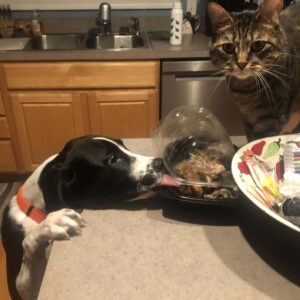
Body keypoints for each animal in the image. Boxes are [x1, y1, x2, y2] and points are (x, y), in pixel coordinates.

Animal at [1, 136, 166, 300]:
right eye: (112, 159)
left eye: (124, 146)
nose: (161, 163)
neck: (35, 210)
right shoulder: (21, 290)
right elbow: (28, 242)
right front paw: (52, 221)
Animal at [207, 0, 300, 141]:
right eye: (228, 47)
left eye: (258, 45)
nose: (241, 63)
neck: (245, 92)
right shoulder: (247, 119)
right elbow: (250, 138)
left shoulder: (272, 119)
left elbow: (259, 139)